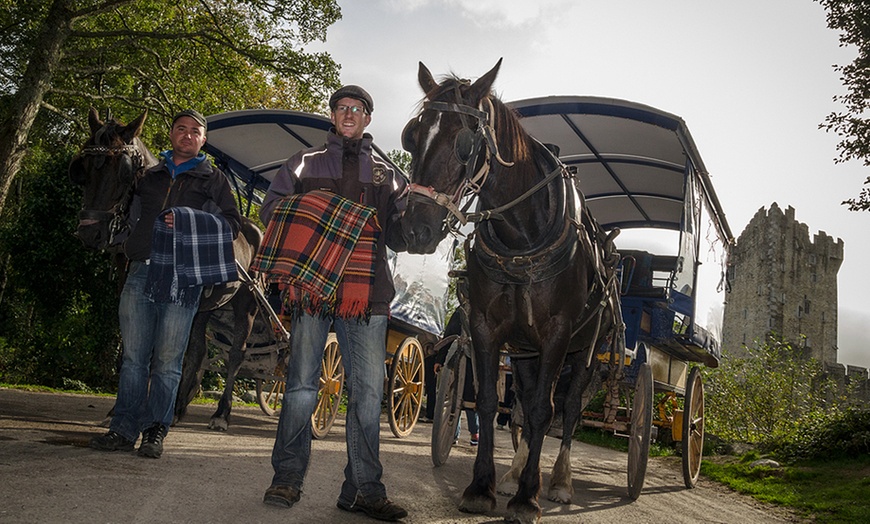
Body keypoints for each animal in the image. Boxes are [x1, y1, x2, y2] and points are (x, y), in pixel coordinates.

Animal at [69, 106, 262, 430]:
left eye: (123, 170)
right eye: (81, 167)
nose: (89, 233)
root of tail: (255, 228)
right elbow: (139, 346)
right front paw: (123, 409)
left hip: (246, 304)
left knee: (237, 354)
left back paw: (221, 413)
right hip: (206, 308)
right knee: (198, 350)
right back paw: (180, 407)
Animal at [402, 62, 620, 524]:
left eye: (465, 143)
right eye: (413, 135)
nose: (415, 229)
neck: (522, 237)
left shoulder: (557, 334)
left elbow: (544, 411)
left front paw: (527, 499)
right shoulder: (487, 327)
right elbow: (488, 402)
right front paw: (482, 487)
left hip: (587, 351)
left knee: (566, 411)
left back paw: (559, 482)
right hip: (524, 354)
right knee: (520, 403)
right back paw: (513, 474)